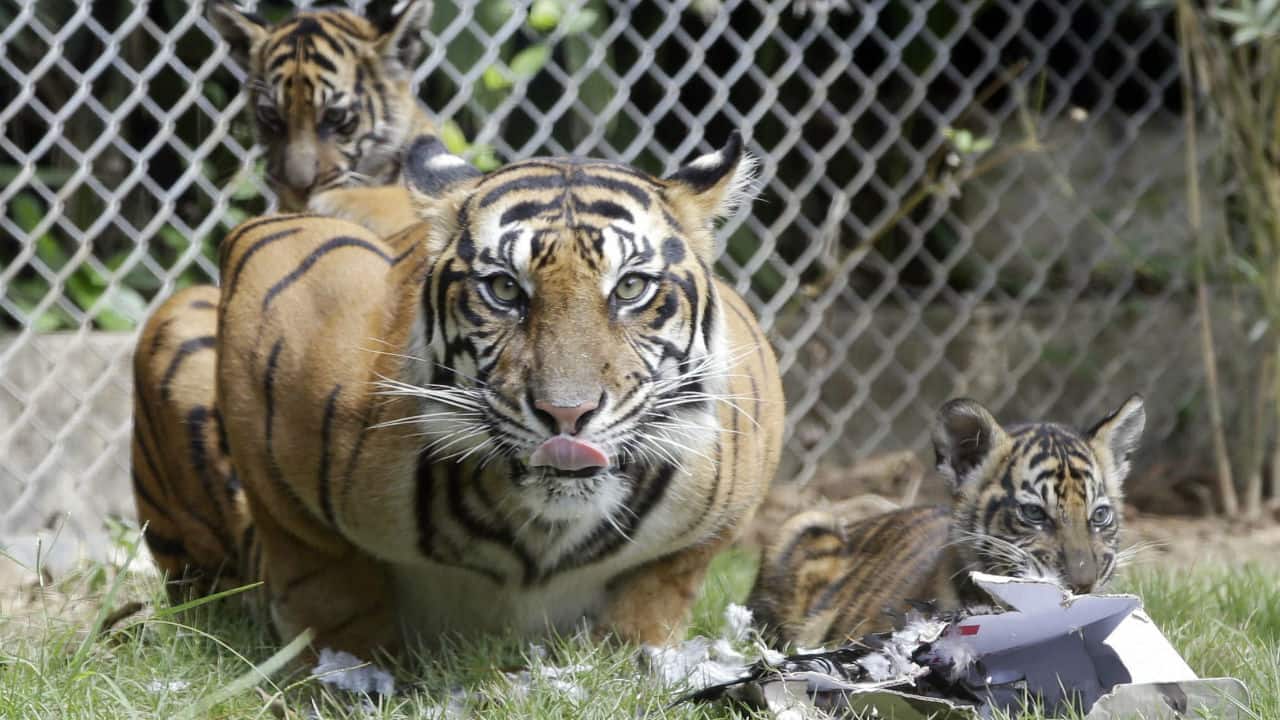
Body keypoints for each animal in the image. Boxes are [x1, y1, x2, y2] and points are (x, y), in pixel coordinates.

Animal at [131, 131, 785, 664]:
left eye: (629, 288)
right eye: (504, 290)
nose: (566, 413)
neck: (541, 536)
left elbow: (659, 591)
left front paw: (635, 659)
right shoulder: (273, 277)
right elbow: (325, 579)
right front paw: (342, 677)